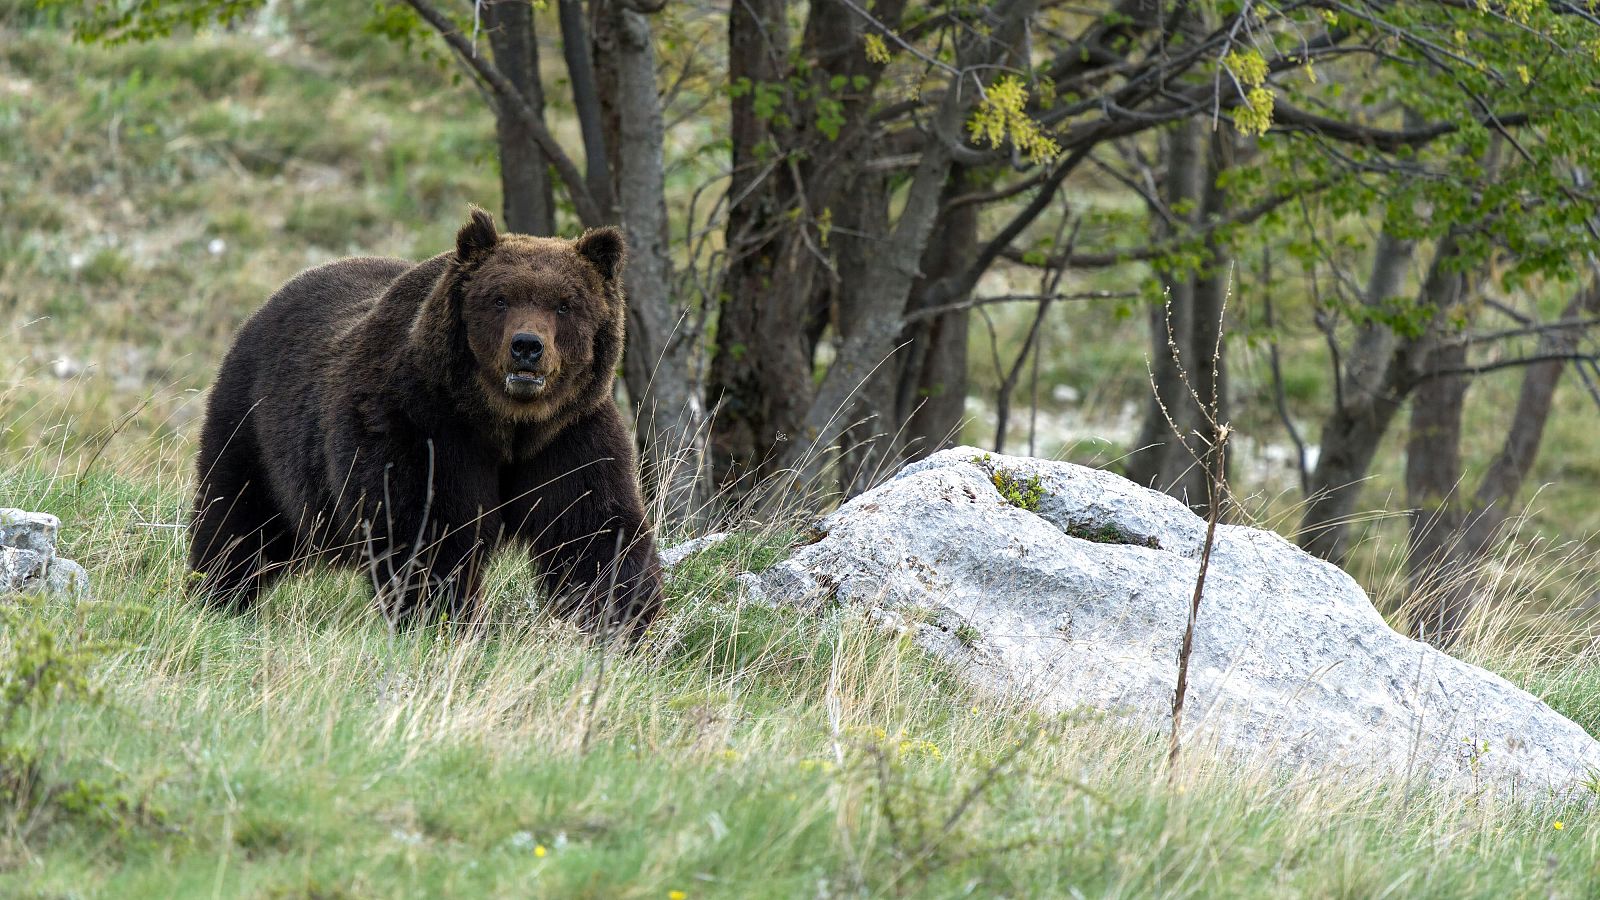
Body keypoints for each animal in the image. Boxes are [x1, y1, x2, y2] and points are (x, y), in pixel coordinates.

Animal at [188, 207, 663, 641]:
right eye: (500, 298)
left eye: (565, 304)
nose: (527, 346)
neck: (505, 422)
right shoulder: (421, 425)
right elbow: (429, 531)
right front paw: (443, 619)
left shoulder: (567, 436)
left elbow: (593, 530)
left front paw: (625, 623)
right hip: (256, 425)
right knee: (237, 518)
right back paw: (216, 595)